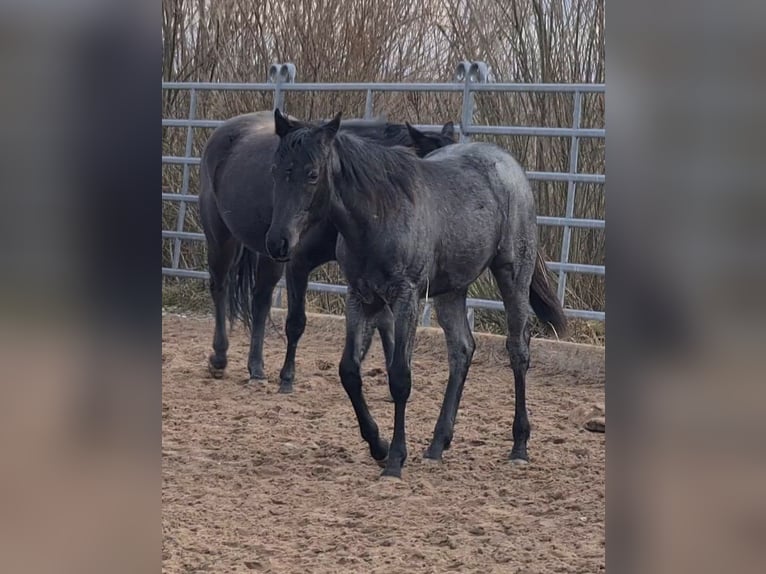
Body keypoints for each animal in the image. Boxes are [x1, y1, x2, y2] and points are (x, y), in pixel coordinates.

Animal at [201, 110, 460, 394]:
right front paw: (287, 377)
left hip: (271, 255)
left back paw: (256, 368)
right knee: (220, 287)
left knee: (260, 300)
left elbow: (384, 323)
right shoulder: (298, 264)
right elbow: (296, 322)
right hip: (224, 238)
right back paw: (219, 358)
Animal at [268, 110, 568, 480]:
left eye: (312, 174)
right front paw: (378, 445)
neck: (379, 214)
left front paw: (395, 460)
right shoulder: (360, 297)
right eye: (276, 169)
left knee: (518, 349)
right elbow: (349, 371)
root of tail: (509, 165)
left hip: (513, 273)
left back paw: (519, 445)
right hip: (452, 289)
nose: (278, 243)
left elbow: (400, 376)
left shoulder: (405, 297)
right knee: (462, 349)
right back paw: (438, 443)